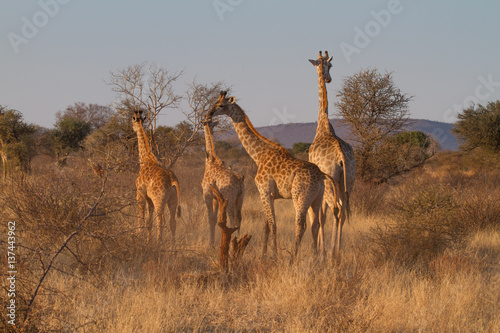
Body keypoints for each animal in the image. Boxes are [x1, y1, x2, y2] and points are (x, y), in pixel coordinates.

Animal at [131, 110, 182, 243]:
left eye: (132, 120)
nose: (133, 128)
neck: (144, 159)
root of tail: (172, 179)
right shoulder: (149, 199)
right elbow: (149, 221)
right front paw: (148, 242)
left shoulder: (140, 194)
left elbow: (141, 218)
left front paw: (139, 237)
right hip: (173, 200)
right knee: (172, 222)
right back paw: (173, 246)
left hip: (159, 199)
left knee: (161, 221)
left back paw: (159, 244)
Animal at [201, 114, 244, 246]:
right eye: (211, 124)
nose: (212, 129)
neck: (209, 162)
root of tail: (239, 180)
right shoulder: (216, 198)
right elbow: (215, 219)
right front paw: (212, 242)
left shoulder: (207, 195)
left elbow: (210, 218)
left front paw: (210, 243)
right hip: (240, 198)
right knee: (239, 217)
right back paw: (238, 239)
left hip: (230, 198)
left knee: (232, 217)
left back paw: (233, 240)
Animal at [207, 91, 336, 260]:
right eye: (214, 103)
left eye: (221, 105)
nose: (208, 114)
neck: (258, 155)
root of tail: (322, 175)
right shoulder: (269, 195)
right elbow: (266, 226)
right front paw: (264, 254)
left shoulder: (264, 191)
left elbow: (273, 225)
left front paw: (274, 255)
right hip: (317, 198)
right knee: (315, 225)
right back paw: (315, 258)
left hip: (300, 196)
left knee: (301, 225)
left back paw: (293, 258)